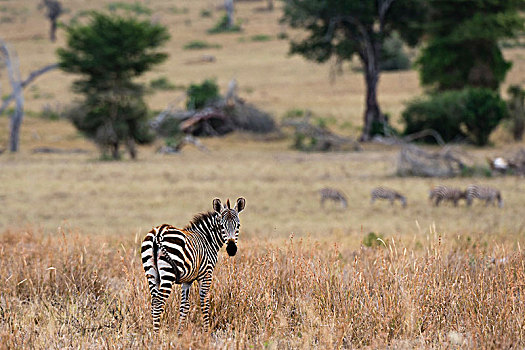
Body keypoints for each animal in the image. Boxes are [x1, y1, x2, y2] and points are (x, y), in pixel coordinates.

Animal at [139, 198, 246, 332]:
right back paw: (157, 334)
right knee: (158, 302)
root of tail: (158, 233)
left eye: (238, 225)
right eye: (221, 226)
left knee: (154, 302)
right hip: (168, 274)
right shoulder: (206, 274)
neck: (207, 240)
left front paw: (179, 331)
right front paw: (206, 331)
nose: (231, 249)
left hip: (151, 273)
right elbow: (204, 302)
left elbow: (184, 306)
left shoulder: (187, 280)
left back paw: (154, 333)